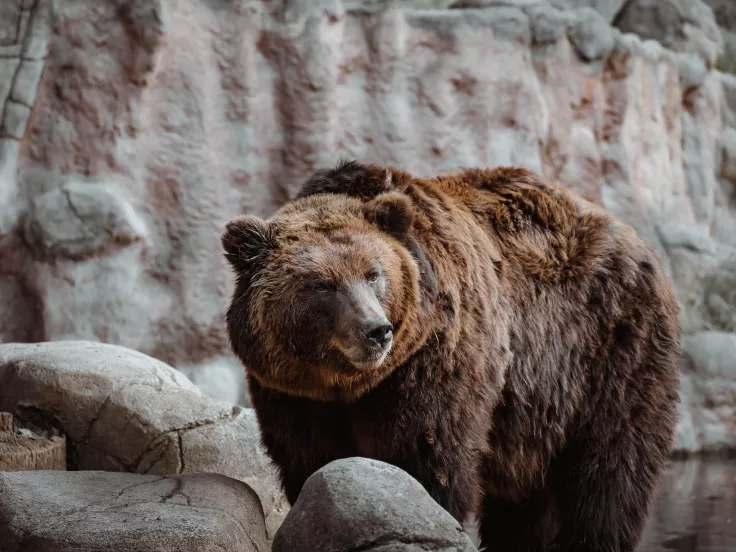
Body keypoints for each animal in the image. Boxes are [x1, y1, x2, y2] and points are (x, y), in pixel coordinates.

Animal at [221, 161, 680, 552]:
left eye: (374, 274)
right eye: (322, 284)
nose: (376, 330)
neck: (347, 384)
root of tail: (637, 241)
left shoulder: (433, 361)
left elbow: (427, 456)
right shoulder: (292, 393)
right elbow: (308, 460)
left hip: (608, 352)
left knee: (609, 471)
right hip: (536, 415)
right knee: (526, 502)